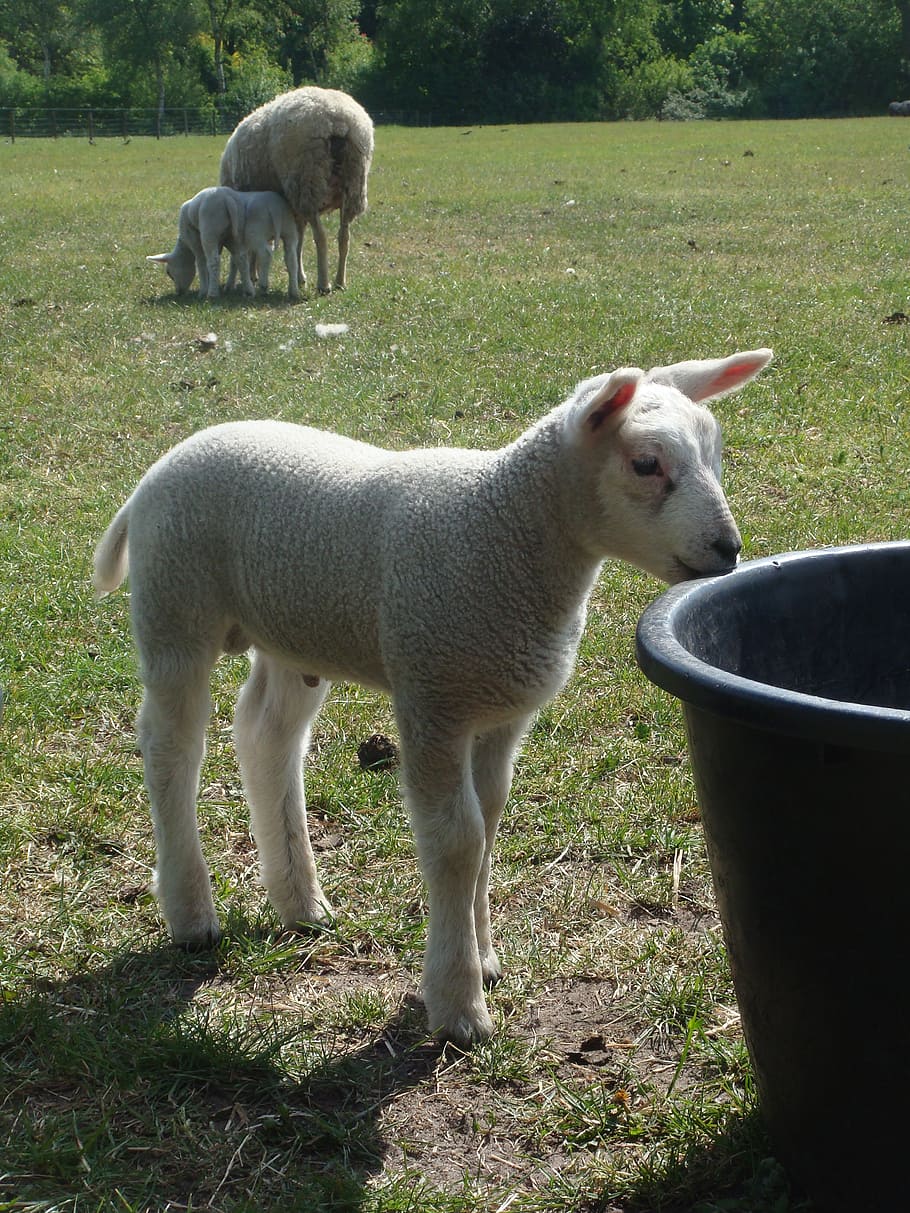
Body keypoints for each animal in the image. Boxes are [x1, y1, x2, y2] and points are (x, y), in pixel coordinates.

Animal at [93, 347, 772, 1047]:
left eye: (716, 452)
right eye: (645, 464)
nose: (728, 550)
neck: (504, 526)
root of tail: (158, 471)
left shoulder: (500, 708)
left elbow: (488, 823)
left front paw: (485, 957)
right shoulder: (433, 696)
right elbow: (456, 841)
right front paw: (458, 1005)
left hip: (290, 631)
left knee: (266, 736)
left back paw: (300, 901)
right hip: (175, 607)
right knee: (172, 748)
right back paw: (190, 913)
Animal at [148, 186, 300, 301]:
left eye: (169, 272)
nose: (179, 292)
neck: (184, 245)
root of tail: (227, 199)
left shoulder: (195, 240)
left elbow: (201, 263)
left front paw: (204, 290)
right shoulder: (225, 241)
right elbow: (233, 262)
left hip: (220, 231)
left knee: (217, 261)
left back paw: (214, 294)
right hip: (284, 230)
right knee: (287, 257)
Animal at [219, 86, 374, 294]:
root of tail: (338, 121)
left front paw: (254, 274)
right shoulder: (293, 211)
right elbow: (297, 242)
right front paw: (300, 277)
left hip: (308, 183)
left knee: (321, 236)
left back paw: (324, 284)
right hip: (353, 184)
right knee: (344, 236)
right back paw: (340, 281)